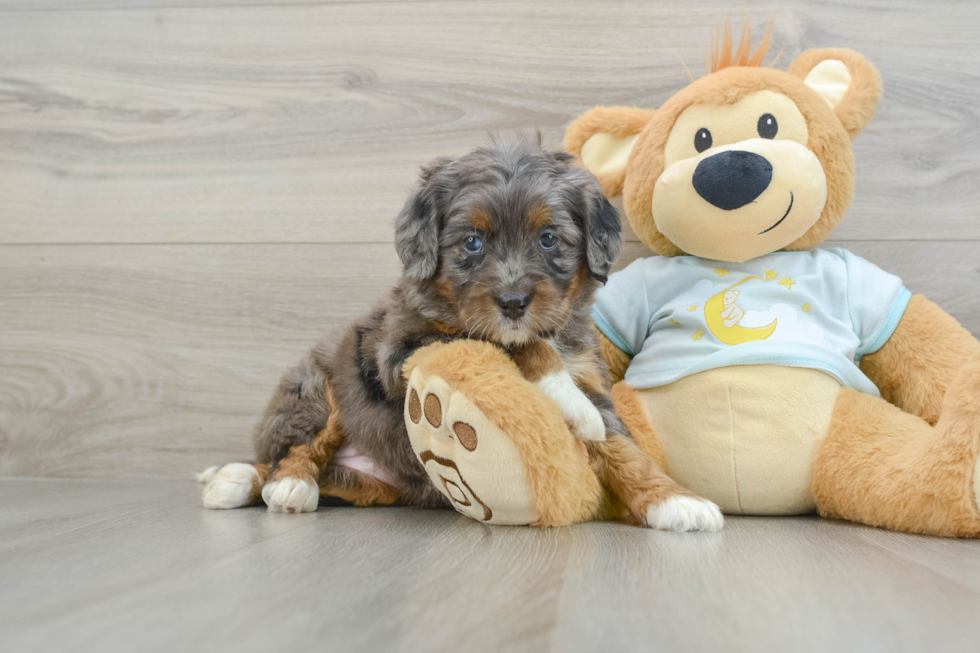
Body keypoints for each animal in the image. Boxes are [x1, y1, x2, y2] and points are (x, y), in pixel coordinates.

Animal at [201, 136, 720, 528]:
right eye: (473, 242)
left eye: (548, 239)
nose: (513, 303)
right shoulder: (404, 349)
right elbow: (509, 345)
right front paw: (566, 399)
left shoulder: (592, 377)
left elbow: (624, 450)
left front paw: (675, 501)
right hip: (320, 385)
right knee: (291, 451)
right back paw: (271, 483)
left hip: (375, 485)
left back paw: (235, 480)